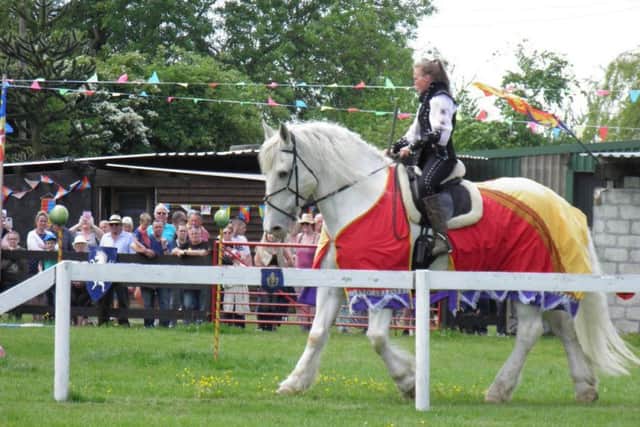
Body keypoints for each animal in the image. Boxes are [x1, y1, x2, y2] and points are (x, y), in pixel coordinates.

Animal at [259, 120, 640, 403]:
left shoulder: (386, 286)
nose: (273, 228)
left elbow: (377, 338)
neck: (361, 197)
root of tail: (562, 205)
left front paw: (409, 381)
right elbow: (317, 334)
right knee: (563, 327)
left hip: (525, 279)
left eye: (283, 172)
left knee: (531, 332)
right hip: (543, 281)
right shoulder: (336, 284)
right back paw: (585, 387)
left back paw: (499, 389)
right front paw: (295, 382)